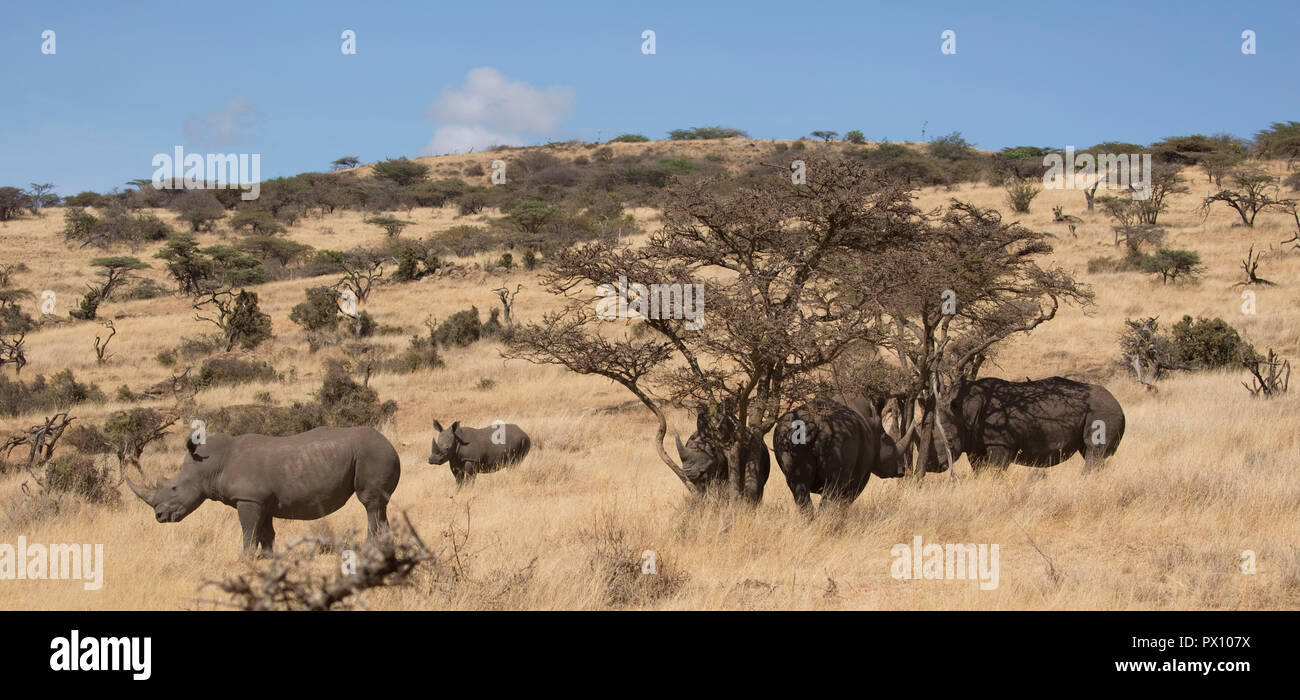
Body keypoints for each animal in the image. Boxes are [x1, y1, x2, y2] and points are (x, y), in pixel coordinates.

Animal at [127, 421, 403, 554]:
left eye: (174, 488)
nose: (159, 516)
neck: (209, 465)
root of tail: (391, 444)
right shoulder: (262, 502)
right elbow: (266, 533)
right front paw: (267, 559)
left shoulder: (248, 499)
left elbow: (248, 532)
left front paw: (244, 560)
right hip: (373, 454)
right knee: (380, 506)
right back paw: (385, 547)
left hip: (372, 454)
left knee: (370, 504)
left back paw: (370, 549)